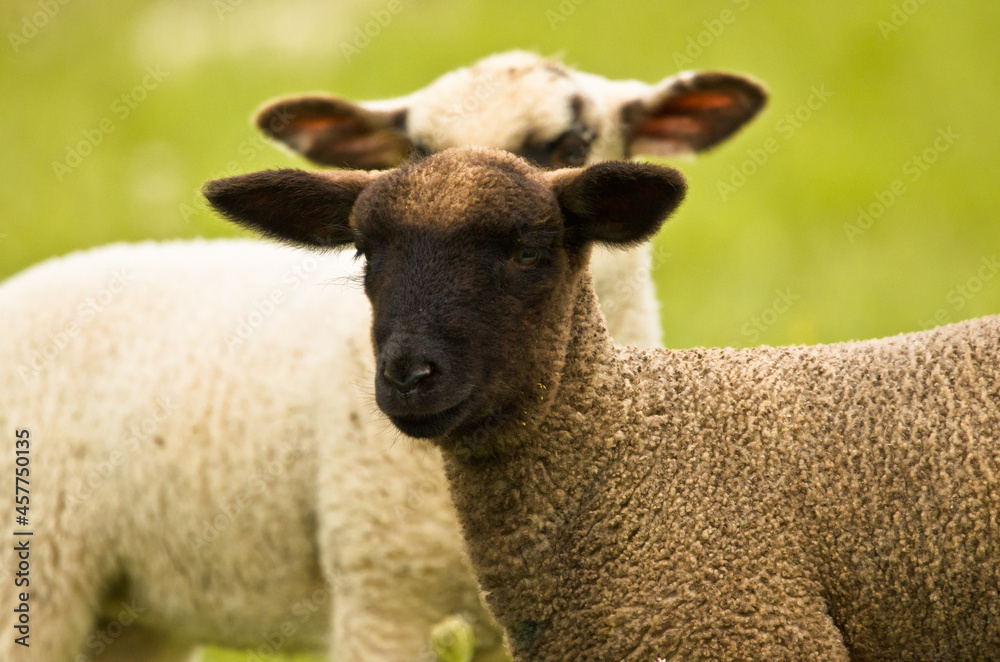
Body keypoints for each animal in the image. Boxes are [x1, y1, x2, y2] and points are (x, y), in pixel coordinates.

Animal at [0, 52, 764, 662]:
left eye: (569, 142)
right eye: (414, 151)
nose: (411, 373)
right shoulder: (384, 595)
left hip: (130, 613)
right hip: (36, 582)